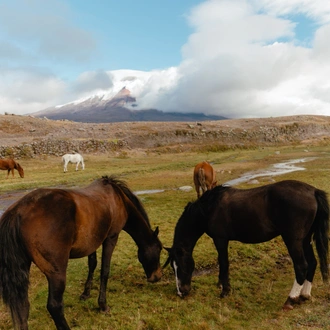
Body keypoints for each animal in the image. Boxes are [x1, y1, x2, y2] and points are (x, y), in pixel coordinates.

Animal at [0, 177, 162, 328]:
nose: (157, 277)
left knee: (23, 308)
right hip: (56, 273)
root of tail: (18, 211)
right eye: (159, 249)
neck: (118, 199)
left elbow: (92, 264)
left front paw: (86, 293)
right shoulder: (111, 238)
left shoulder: (93, 242)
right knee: (54, 306)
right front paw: (103, 305)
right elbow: (104, 270)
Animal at [164, 179, 328, 310]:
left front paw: (225, 291)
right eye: (172, 267)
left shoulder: (220, 239)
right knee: (312, 263)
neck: (210, 208)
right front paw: (220, 284)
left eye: (181, 265)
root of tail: (313, 191)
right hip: (306, 239)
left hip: (293, 240)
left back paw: (290, 299)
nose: (180, 292)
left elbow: (223, 262)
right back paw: (304, 295)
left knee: (301, 266)